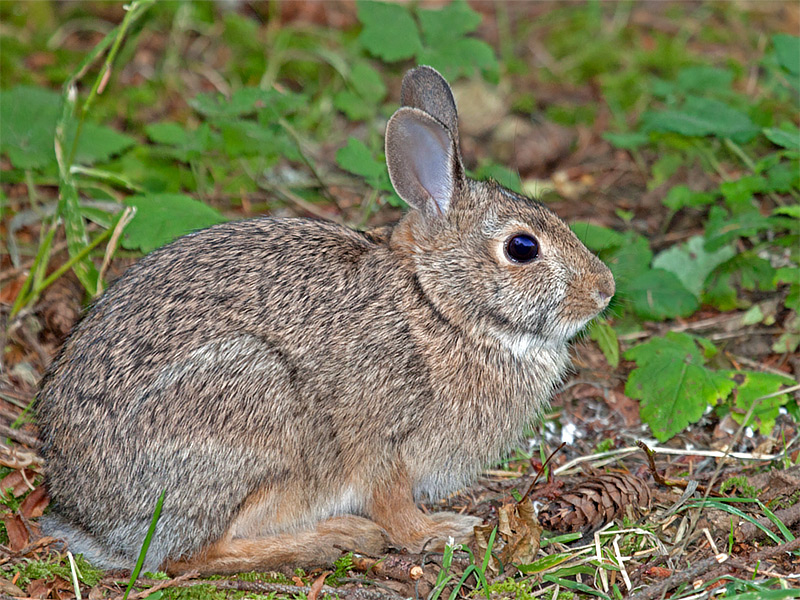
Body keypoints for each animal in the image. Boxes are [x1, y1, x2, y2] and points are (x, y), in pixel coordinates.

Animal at [36, 63, 612, 576]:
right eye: (522, 248)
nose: (604, 290)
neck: (438, 307)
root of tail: (88, 517)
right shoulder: (385, 444)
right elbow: (394, 507)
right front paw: (442, 531)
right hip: (254, 417)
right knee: (188, 556)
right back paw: (337, 538)